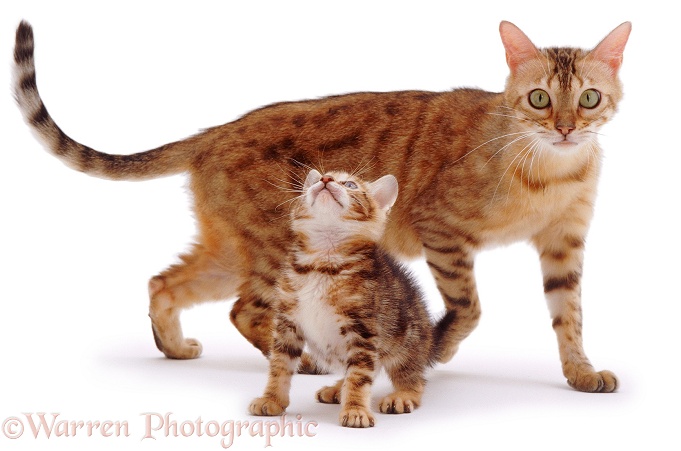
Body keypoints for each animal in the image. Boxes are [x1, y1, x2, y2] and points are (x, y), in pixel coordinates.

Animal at [14, 19, 632, 392]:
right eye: (539, 98)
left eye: (589, 98)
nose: (566, 128)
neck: (552, 172)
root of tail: (214, 132)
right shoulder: (442, 230)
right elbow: (470, 308)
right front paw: (439, 348)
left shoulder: (565, 245)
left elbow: (569, 316)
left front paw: (580, 373)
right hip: (273, 250)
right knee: (244, 310)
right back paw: (304, 361)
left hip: (230, 252)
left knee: (163, 283)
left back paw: (174, 347)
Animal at [250, 169, 452, 428]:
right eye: (319, 178)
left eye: (350, 184)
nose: (325, 179)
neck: (322, 264)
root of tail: (429, 338)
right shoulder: (287, 324)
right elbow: (279, 365)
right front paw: (272, 399)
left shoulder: (362, 330)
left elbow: (359, 376)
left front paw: (355, 409)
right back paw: (338, 388)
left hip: (406, 342)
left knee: (411, 378)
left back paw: (402, 395)